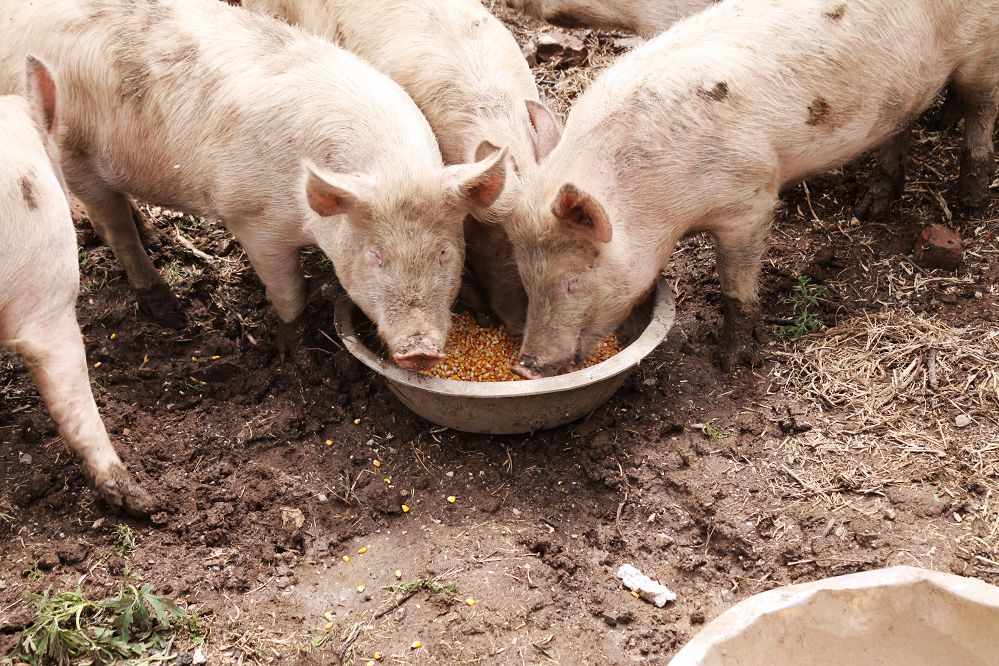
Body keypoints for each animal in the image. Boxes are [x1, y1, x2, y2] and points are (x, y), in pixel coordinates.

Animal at [0, 0, 508, 368]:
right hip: (71, 150)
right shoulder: (252, 220)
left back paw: (156, 235)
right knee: (113, 228)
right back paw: (170, 311)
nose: (420, 350)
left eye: (445, 252)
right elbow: (289, 291)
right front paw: (300, 360)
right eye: (374, 255)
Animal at [508, 0, 999, 376]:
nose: (525, 366)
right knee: (900, 126)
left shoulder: (750, 197)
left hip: (981, 52)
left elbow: (735, 285)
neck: (654, 203)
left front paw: (731, 363)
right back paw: (870, 207)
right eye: (526, 277)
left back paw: (969, 204)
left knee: (981, 112)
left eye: (573, 278)